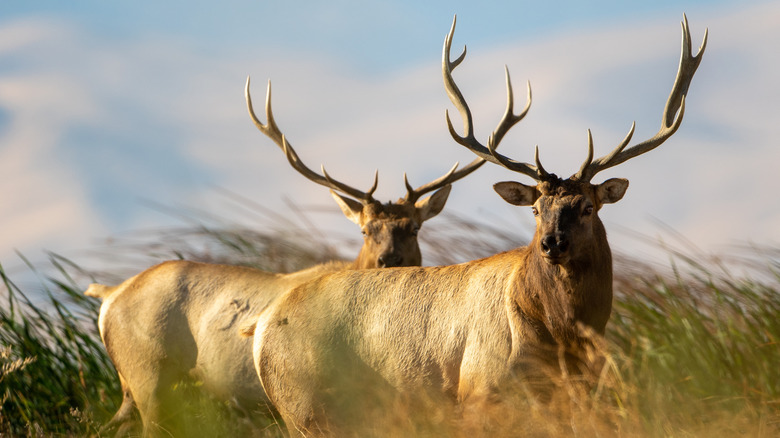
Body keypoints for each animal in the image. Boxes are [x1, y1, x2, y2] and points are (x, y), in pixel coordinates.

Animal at [85, 76, 493, 437]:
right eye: (365, 230)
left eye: (414, 228)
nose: (388, 260)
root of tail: (109, 296)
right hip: (148, 374)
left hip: (132, 386)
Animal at [248, 15, 707, 436]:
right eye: (535, 208)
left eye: (588, 207)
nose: (551, 244)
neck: (564, 337)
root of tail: (262, 327)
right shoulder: (479, 389)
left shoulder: (581, 393)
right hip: (305, 406)